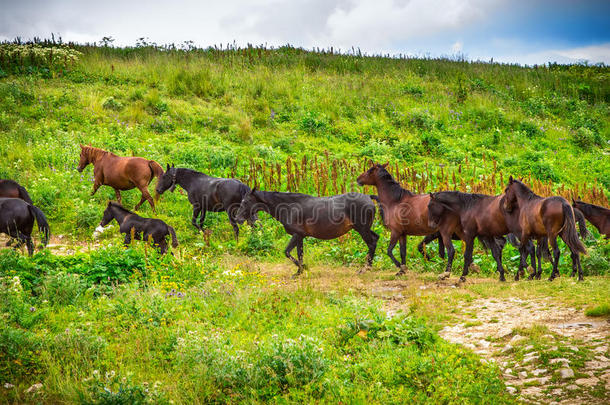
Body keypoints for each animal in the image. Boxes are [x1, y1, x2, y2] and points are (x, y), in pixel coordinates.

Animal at [233, 188, 376, 276]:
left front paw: (303, 268)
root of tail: (369, 198)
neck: (290, 208)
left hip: (362, 229)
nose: (237, 218)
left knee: (372, 243)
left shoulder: (297, 235)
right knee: (376, 238)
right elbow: (299, 254)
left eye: (245, 201)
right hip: (364, 229)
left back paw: (365, 269)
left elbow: (287, 252)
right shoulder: (300, 236)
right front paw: (299, 272)